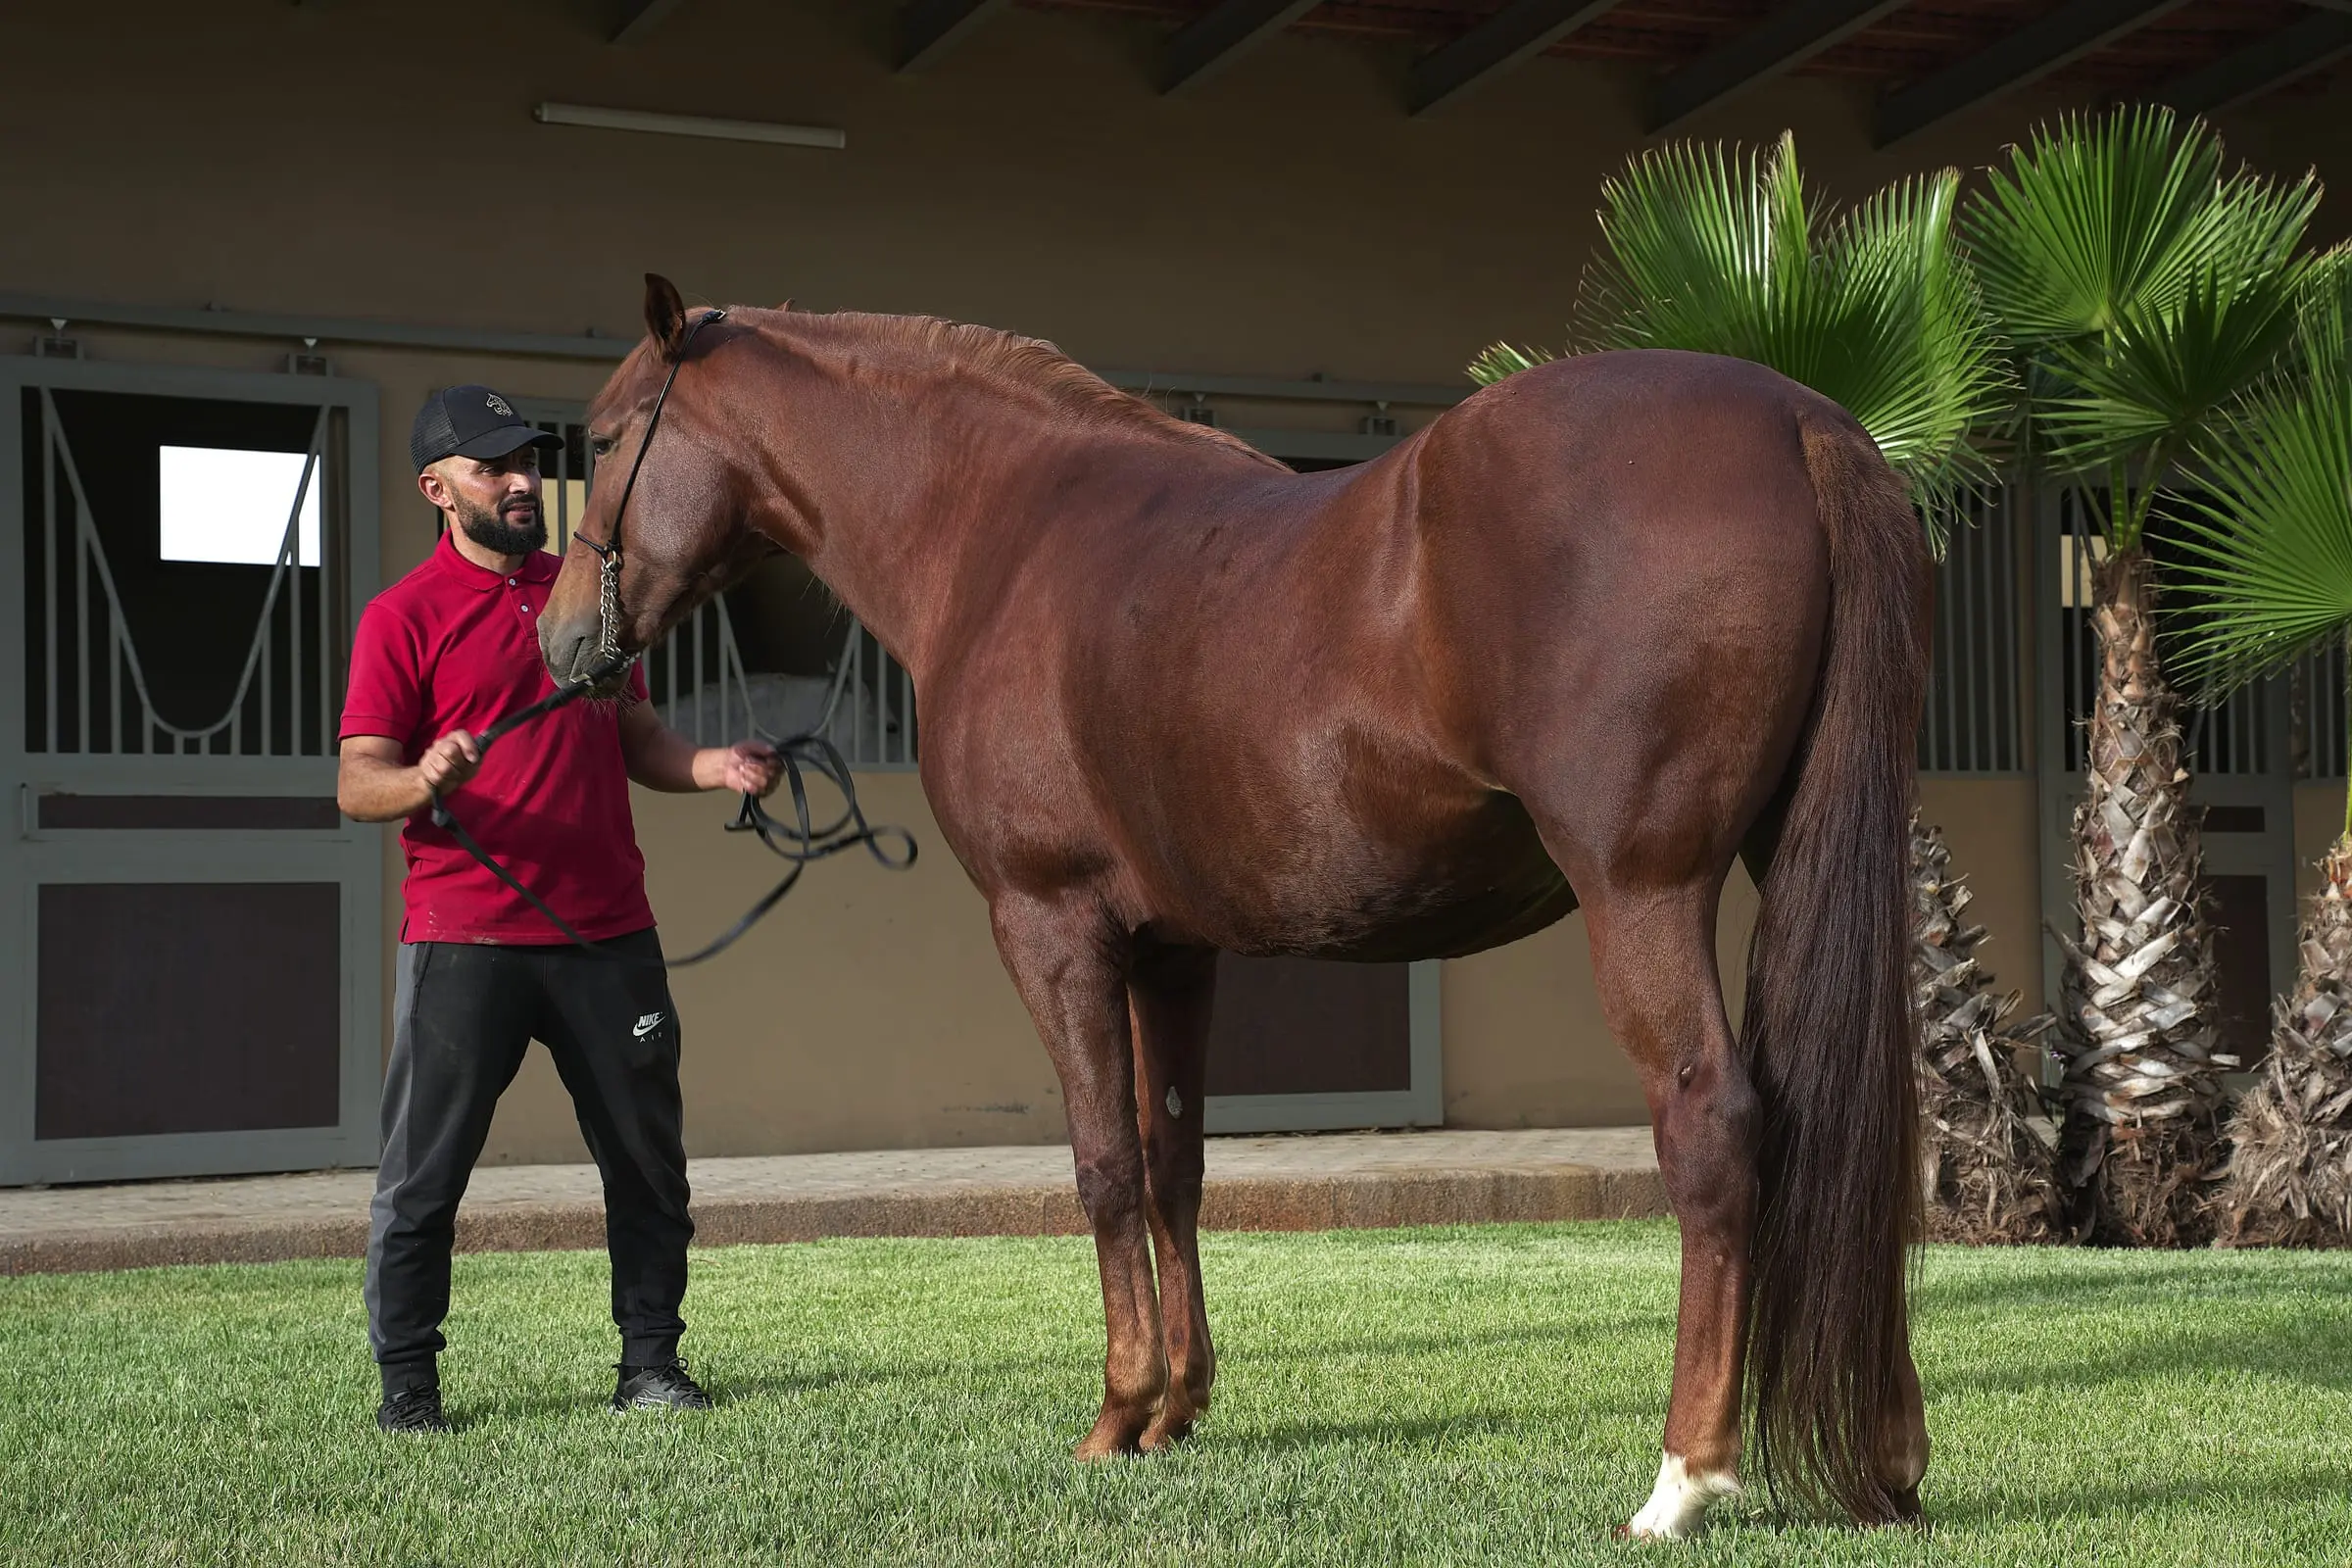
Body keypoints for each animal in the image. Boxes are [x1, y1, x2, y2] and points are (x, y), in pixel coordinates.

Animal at [538, 274, 1932, 1538]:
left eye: (600, 441)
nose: (560, 645)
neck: (1001, 532)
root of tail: (1801, 418)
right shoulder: (1174, 951)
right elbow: (1175, 1166)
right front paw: (1178, 1408)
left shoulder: (1051, 928)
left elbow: (1102, 1166)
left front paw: (1115, 1414)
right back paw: (1892, 1462)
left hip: (1641, 890)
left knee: (1714, 1128)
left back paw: (1683, 1479)